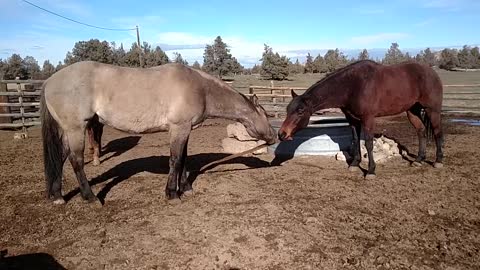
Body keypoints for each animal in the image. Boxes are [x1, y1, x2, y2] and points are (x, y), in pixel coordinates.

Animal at [41, 61, 276, 205]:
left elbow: (184, 159)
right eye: (265, 114)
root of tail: (49, 81)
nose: (274, 136)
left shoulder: (184, 129)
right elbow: (175, 160)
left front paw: (186, 188)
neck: (200, 88)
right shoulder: (179, 128)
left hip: (67, 131)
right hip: (76, 129)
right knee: (76, 161)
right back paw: (90, 197)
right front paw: (172, 194)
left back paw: (57, 196)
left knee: (60, 158)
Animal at [280, 59, 444, 178]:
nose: (282, 134)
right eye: (287, 109)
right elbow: (355, 140)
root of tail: (432, 73)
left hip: (432, 110)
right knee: (421, 131)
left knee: (437, 132)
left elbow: (369, 143)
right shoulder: (352, 120)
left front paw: (371, 171)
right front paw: (354, 164)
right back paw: (418, 160)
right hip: (412, 111)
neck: (353, 85)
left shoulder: (368, 119)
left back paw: (438, 161)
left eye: (300, 111)